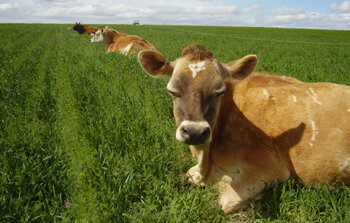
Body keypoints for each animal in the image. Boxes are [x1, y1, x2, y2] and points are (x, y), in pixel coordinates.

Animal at [137, 44, 350, 214]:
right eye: (172, 91)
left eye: (219, 92)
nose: (195, 132)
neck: (207, 158)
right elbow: (190, 175)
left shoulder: (269, 166)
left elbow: (224, 200)